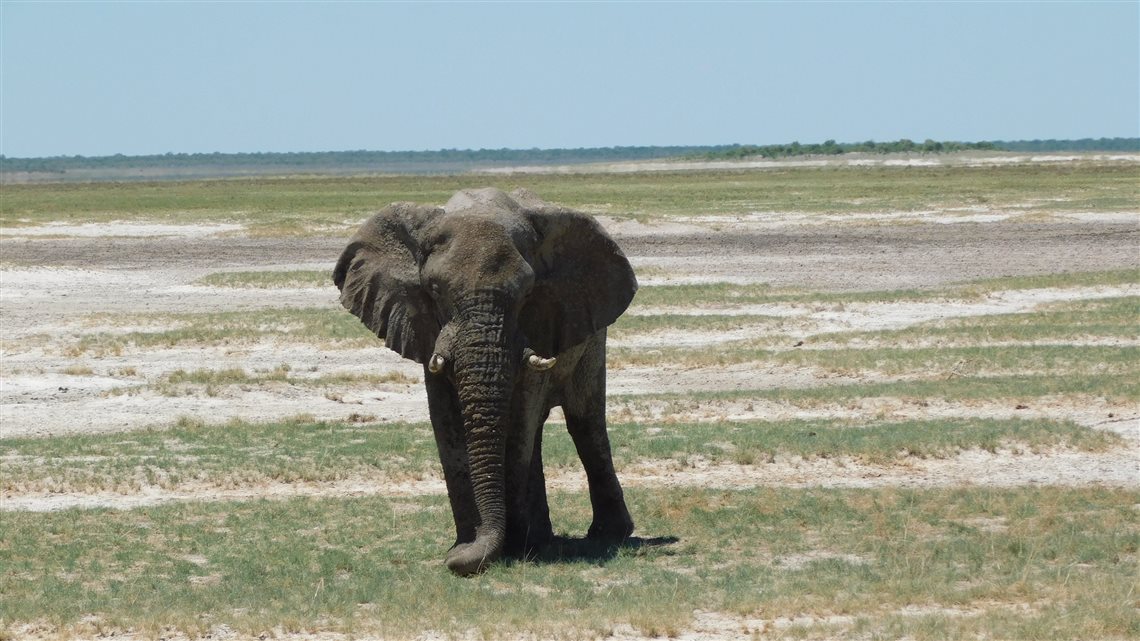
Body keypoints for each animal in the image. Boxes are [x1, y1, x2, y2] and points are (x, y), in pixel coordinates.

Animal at [333, 187, 637, 575]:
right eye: (434, 289)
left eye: (527, 292)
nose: (455, 562)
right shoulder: (425, 329)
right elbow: (446, 422)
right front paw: (465, 547)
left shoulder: (541, 320)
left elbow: (520, 419)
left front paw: (512, 548)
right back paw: (543, 536)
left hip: (593, 336)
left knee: (584, 421)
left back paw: (603, 535)